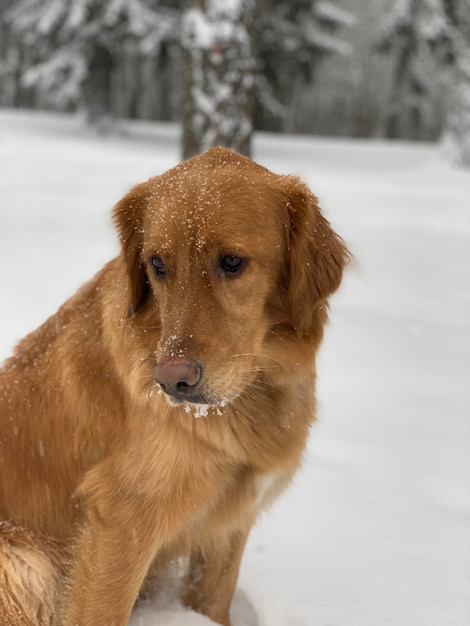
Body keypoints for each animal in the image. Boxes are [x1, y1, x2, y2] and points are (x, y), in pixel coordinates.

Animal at [0, 147, 348, 624]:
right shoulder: (121, 517)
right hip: (21, 563)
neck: (253, 393)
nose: (172, 382)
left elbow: (214, 600)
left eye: (232, 262)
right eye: (158, 264)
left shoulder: (230, 524)